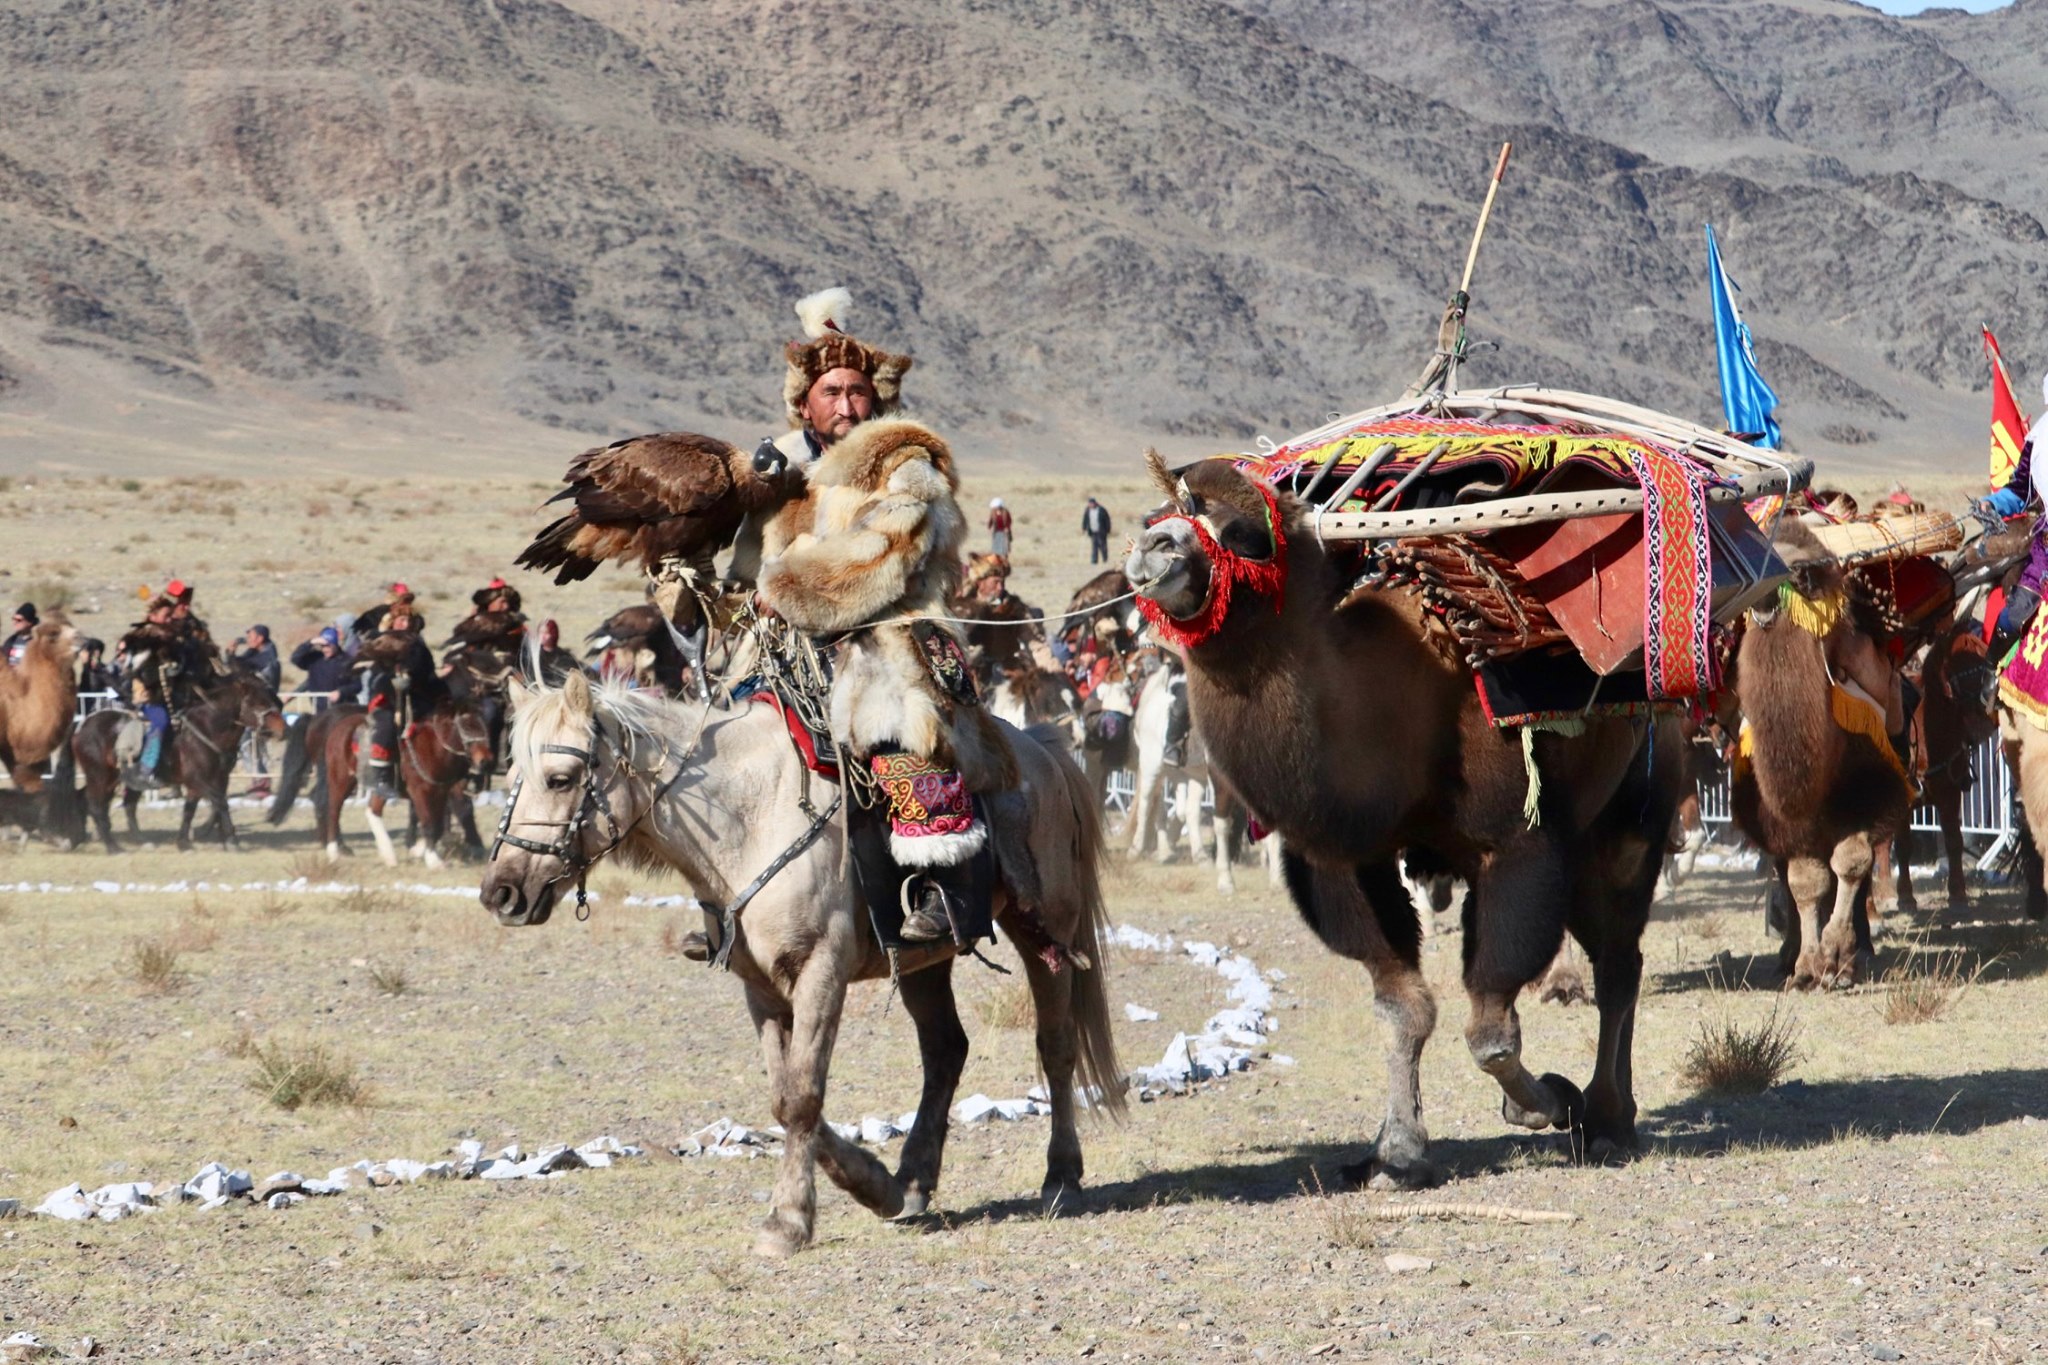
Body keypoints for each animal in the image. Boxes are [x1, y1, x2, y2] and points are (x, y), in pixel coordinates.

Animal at [71, 671, 286, 855]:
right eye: (257, 702)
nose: (282, 729)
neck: (206, 730)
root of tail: (82, 726)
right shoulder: (199, 779)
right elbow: (220, 803)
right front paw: (231, 841)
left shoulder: (216, 779)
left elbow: (193, 809)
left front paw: (187, 840)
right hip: (100, 775)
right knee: (96, 806)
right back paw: (112, 847)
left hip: (115, 778)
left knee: (107, 802)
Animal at [1130, 458, 1687, 1186]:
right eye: (1153, 514)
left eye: (1245, 533)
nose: (1153, 546)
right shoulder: (1346, 862)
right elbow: (1404, 1008)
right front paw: (1397, 1150)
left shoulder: (1519, 845)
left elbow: (1489, 1031)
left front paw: (1547, 1103)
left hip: (1631, 817)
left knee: (1619, 959)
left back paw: (1610, 1117)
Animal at [1736, 519, 1908, 982]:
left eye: (1798, 568)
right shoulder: (1789, 826)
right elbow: (1805, 882)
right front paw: (1807, 965)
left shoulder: (1870, 797)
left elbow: (1851, 862)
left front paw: (1835, 953)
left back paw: (1856, 951)